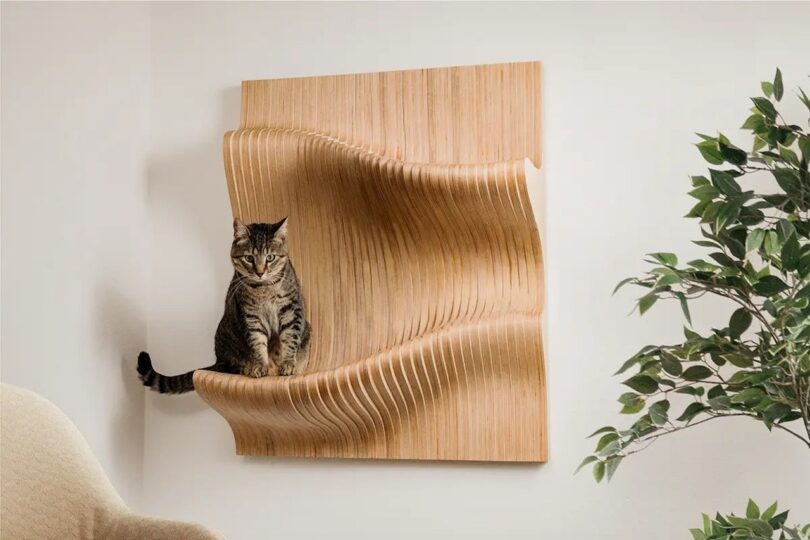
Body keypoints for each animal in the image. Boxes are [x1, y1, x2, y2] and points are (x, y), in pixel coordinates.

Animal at [136, 217, 310, 394]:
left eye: (270, 257)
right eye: (249, 258)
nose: (260, 272)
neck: (263, 289)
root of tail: (218, 360)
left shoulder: (291, 310)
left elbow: (290, 338)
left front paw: (287, 364)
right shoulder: (250, 317)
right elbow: (257, 343)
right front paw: (260, 366)